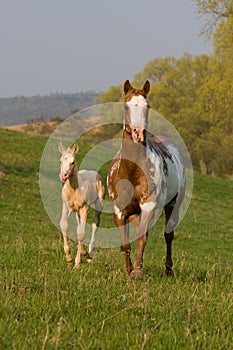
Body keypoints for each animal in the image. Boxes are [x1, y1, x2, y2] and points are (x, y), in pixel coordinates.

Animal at [108, 80, 186, 280]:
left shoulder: (149, 206)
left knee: (168, 235)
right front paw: (129, 270)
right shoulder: (119, 210)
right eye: (126, 106)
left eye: (147, 106)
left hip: (172, 205)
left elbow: (143, 239)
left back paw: (168, 270)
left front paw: (136, 272)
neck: (131, 171)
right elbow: (126, 243)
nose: (138, 133)